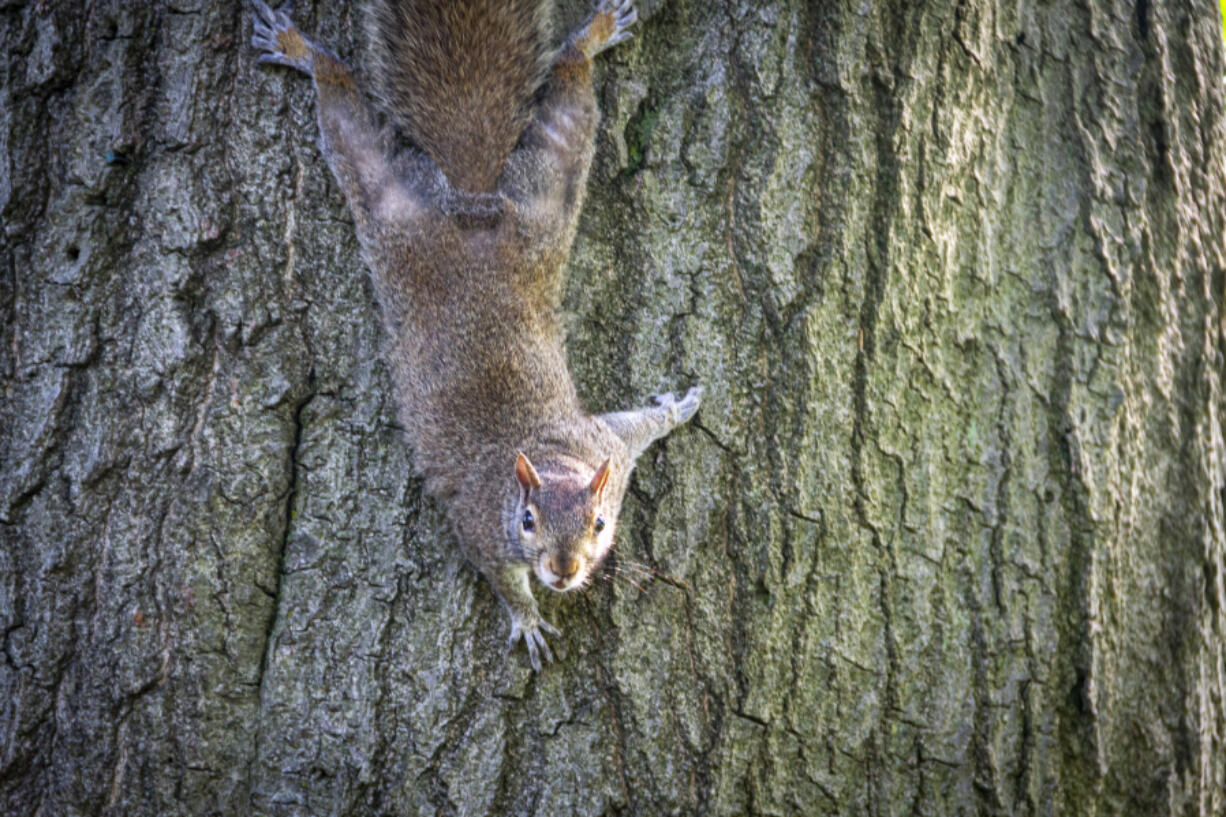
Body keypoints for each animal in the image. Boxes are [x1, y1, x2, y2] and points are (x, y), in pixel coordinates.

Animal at [251, 0, 701, 667]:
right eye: (527, 521)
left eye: (599, 524)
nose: (564, 571)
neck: (549, 454)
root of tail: (473, 211)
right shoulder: (483, 528)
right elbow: (499, 576)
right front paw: (528, 618)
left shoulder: (608, 451)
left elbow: (636, 426)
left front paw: (678, 408)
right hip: (400, 214)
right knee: (351, 129)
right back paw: (302, 51)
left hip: (542, 201)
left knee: (567, 111)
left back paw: (591, 39)